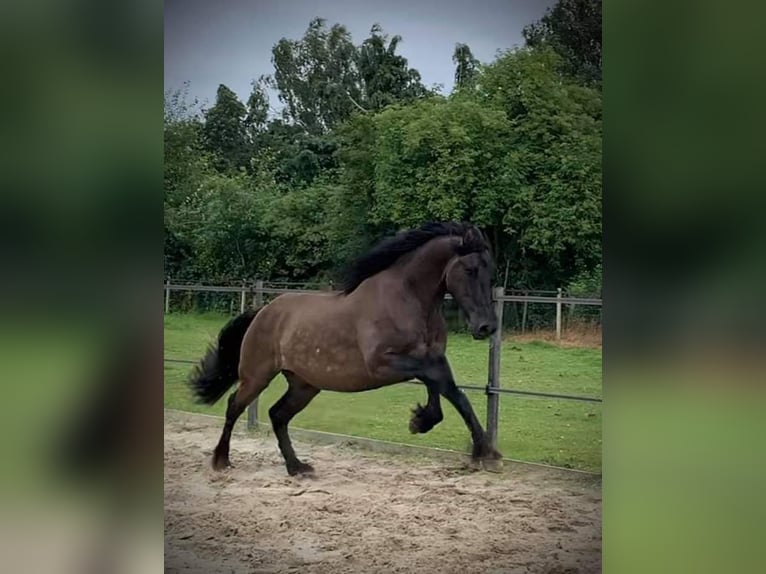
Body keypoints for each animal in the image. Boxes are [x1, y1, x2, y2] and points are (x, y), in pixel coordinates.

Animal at [189, 223, 504, 480]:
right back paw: (221, 461)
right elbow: (440, 381)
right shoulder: (382, 363)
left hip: (305, 385)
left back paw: (297, 467)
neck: (407, 299)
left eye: (490, 271)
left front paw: (428, 424)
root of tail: (263, 311)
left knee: (277, 414)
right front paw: (480, 450)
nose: (486, 326)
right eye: (470, 269)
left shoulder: (430, 357)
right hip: (257, 375)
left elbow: (447, 389)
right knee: (234, 405)